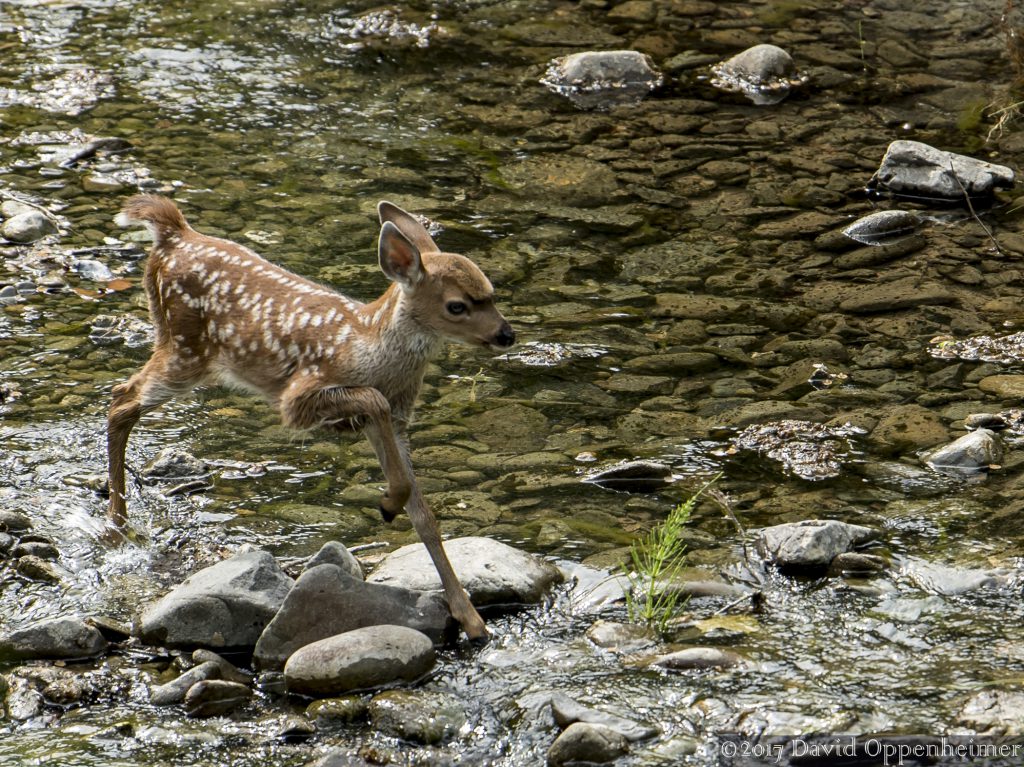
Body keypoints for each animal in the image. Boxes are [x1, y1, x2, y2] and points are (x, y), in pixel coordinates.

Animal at [108, 194, 516, 642]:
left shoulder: (397, 420)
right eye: (457, 305)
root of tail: (174, 232)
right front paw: (387, 503)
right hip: (185, 349)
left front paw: (471, 619)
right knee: (120, 399)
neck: (365, 347)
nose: (506, 335)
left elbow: (423, 514)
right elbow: (373, 401)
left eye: (492, 293)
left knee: (121, 397)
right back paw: (117, 525)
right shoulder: (300, 399)